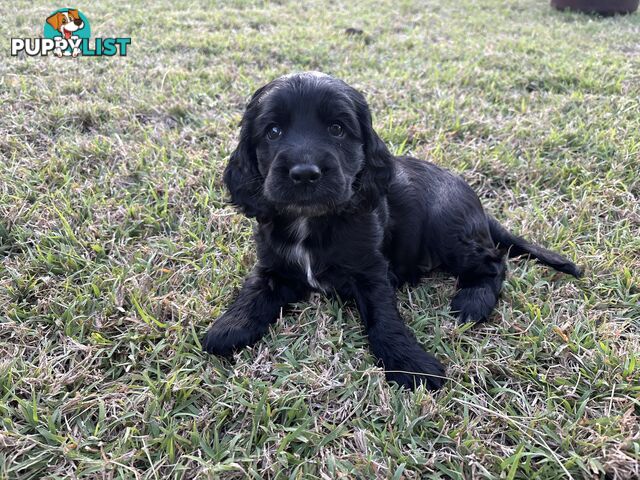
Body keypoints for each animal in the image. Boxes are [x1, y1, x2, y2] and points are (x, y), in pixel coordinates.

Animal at [202, 73, 584, 392]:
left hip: (448, 229)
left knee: (494, 262)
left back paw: (472, 303)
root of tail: (478, 206)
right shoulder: (273, 265)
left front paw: (410, 364)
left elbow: (383, 318)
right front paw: (228, 329)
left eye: (337, 129)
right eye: (273, 132)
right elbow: (254, 293)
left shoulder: (371, 271)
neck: (310, 221)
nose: (305, 173)